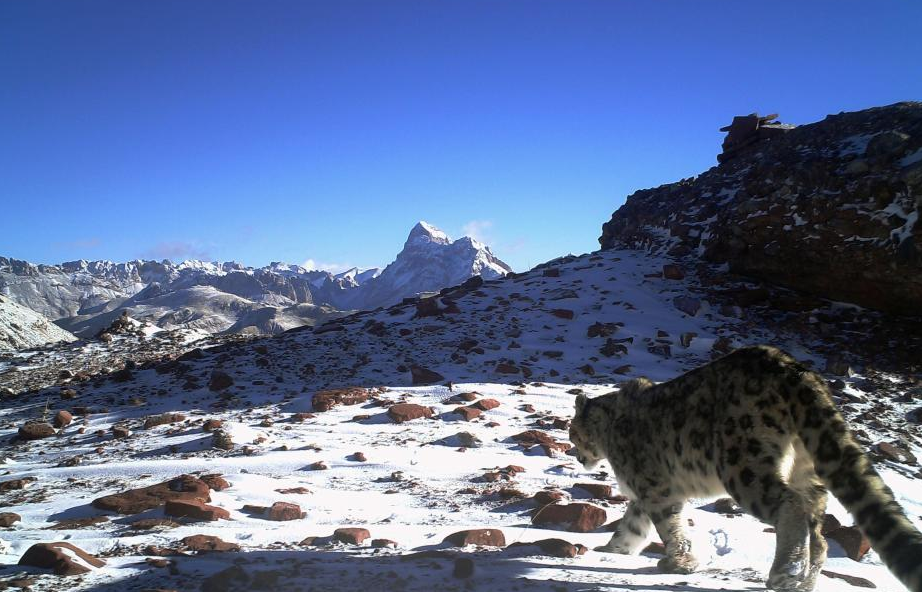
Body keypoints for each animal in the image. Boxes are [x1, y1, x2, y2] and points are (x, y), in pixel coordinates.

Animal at [568, 344, 920, 588]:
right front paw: (614, 549)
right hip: (807, 470)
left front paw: (679, 564)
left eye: (572, 432)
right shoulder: (645, 492)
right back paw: (802, 582)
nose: (575, 454)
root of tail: (794, 368)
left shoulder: (655, 487)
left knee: (790, 504)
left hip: (743, 463)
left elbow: (670, 526)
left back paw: (782, 575)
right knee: (818, 534)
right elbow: (633, 525)